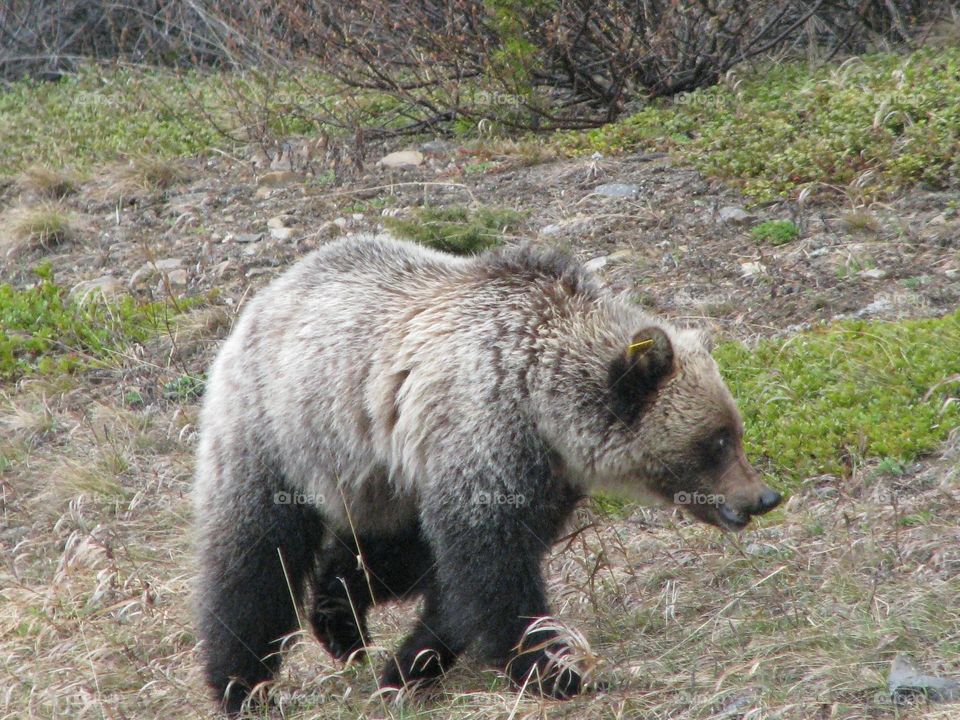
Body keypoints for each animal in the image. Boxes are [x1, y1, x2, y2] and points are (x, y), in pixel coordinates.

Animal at [193, 235, 780, 708]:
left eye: (734, 430)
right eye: (718, 440)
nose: (762, 496)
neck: (541, 400)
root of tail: (268, 294)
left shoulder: (540, 477)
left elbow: (463, 579)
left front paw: (406, 667)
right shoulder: (484, 433)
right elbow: (491, 570)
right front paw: (556, 671)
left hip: (385, 472)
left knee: (386, 549)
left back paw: (339, 621)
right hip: (281, 429)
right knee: (256, 556)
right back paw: (242, 684)